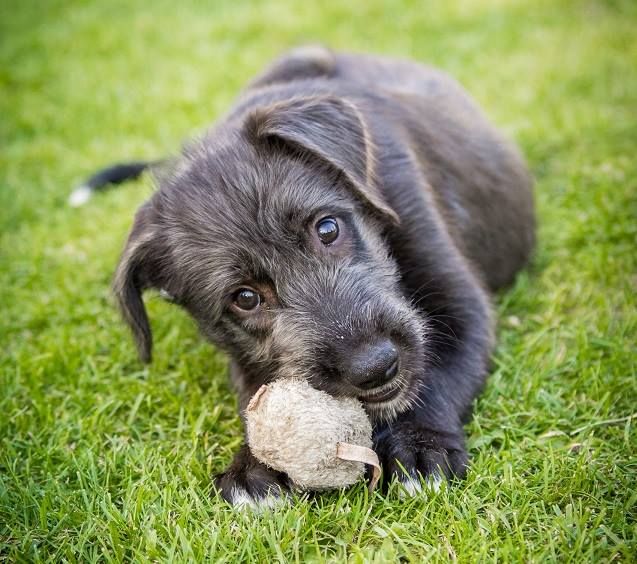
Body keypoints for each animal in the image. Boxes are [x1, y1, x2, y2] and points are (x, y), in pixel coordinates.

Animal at [99, 47, 536, 506]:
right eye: (245, 297)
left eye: (328, 229)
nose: (376, 366)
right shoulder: (245, 355)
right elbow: (252, 399)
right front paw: (253, 467)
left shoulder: (461, 301)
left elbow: (440, 371)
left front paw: (420, 444)